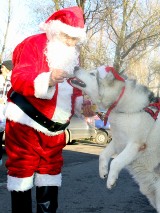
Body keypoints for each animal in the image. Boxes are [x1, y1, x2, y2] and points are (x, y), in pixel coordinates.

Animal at [70, 65, 160, 212]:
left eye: (92, 74)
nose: (76, 66)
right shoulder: (118, 141)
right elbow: (103, 155)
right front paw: (103, 172)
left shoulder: (135, 144)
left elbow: (116, 162)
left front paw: (111, 180)